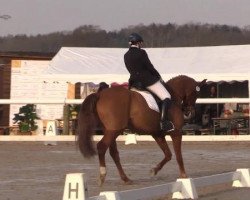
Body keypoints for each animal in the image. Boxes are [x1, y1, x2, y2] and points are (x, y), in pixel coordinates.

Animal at [77, 75, 206, 186]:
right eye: (196, 93)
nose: (190, 113)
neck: (173, 96)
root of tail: (100, 94)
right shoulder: (176, 133)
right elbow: (178, 155)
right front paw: (184, 176)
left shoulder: (158, 134)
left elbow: (168, 154)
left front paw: (154, 170)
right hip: (113, 131)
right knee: (102, 146)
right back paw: (102, 176)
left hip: (111, 130)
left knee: (113, 152)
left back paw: (125, 179)